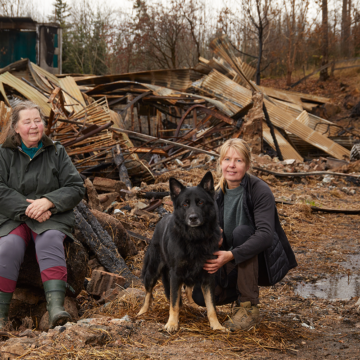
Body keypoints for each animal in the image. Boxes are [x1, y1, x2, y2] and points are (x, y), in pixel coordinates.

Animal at [138, 172, 225, 332]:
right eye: (185, 204)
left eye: (200, 203)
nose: (193, 218)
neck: (194, 239)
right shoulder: (175, 274)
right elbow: (173, 303)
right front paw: (172, 324)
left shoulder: (207, 275)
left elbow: (211, 305)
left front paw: (216, 325)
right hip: (153, 270)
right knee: (148, 292)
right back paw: (143, 311)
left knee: (188, 289)